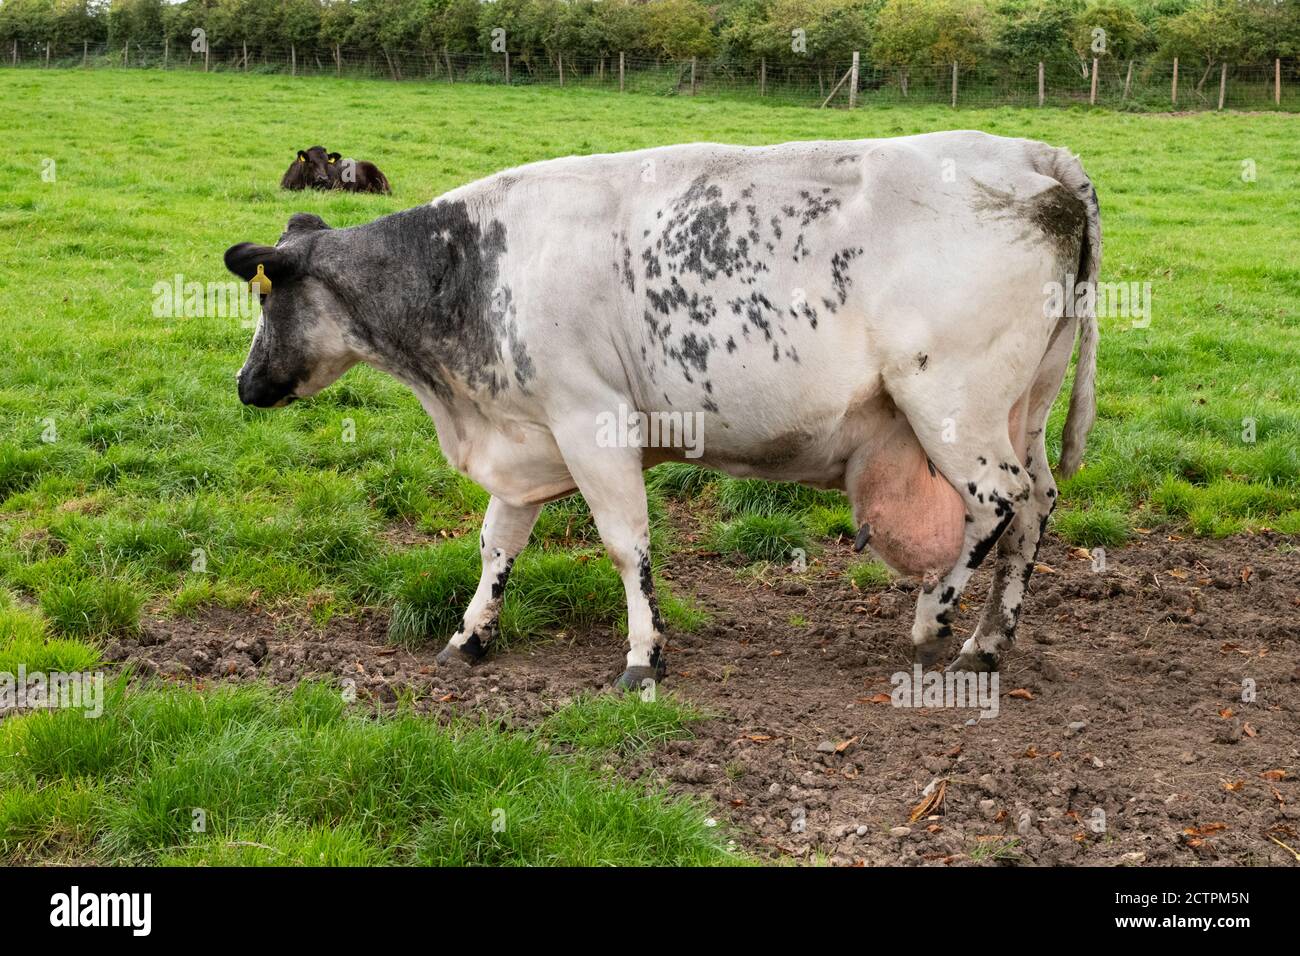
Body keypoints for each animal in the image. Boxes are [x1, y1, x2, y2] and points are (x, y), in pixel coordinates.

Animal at [226, 132, 1097, 686]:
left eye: (267, 299)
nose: (244, 384)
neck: (471, 271)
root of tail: (1028, 154)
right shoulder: (527, 431)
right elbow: (497, 543)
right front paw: (471, 635)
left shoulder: (590, 421)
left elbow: (625, 545)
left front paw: (644, 657)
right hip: (1024, 409)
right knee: (1034, 509)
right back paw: (988, 642)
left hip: (950, 401)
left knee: (995, 502)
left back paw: (933, 619)